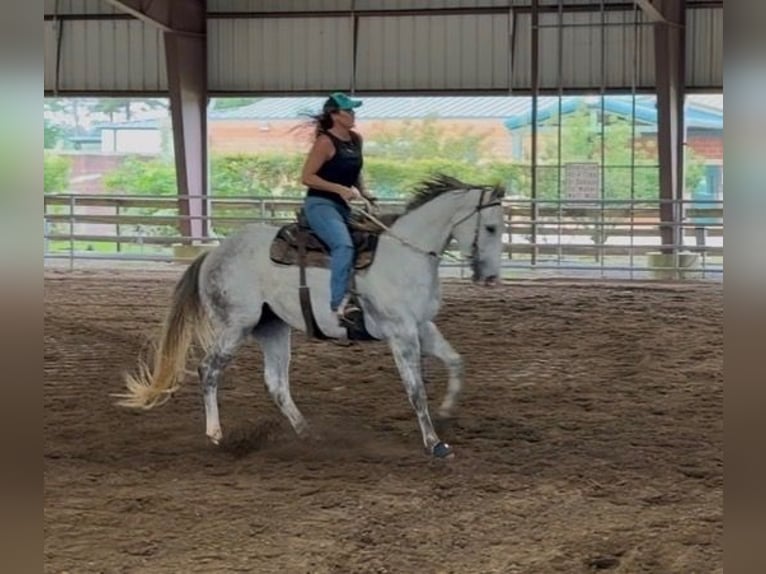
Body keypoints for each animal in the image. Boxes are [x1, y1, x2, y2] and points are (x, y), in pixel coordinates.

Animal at [115, 174, 506, 459]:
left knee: (276, 383)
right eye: (490, 228)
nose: (489, 278)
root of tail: (213, 253)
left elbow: (456, 362)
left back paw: (307, 433)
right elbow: (416, 390)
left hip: (272, 328)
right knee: (208, 369)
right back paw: (215, 435)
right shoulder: (402, 334)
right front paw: (434, 443)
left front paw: (447, 414)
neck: (403, 256)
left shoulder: (422, 327)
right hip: (235, 325)